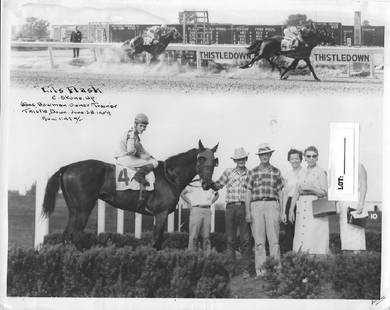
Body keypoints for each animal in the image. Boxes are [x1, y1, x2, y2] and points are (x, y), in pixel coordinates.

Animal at [43, 140, 219, 249]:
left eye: (214, 161)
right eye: (200, 159)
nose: (207, 184)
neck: (170, 176)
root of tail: (66, 168)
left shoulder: (161, 215)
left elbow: (159, 240)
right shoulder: (160, 213)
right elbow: (156, 241)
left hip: (74, 209)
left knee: (67, 235)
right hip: (83, 208)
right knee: (76, 235)